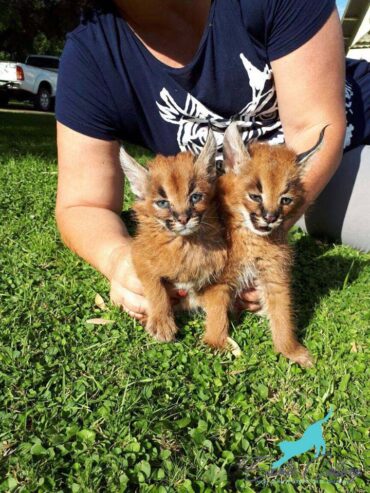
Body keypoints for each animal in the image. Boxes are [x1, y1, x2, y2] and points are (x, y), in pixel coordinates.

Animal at [118, 133, 228, 344]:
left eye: (195, 197)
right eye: (162, 203)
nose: (183, 218)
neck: (185, 244)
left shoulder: (220, 275)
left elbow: (219, 305)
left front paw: (216, 340)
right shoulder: (139, 256)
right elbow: (155, 286)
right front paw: (161, 322)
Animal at [208, 121, 326, 364]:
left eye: (286, 200)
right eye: (255, 196)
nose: (271, 217)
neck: (254, 240)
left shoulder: (274, 276)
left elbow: (282, 315)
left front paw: (291, 350)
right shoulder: (217, 279)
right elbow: (216, 315)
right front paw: (219, 344)